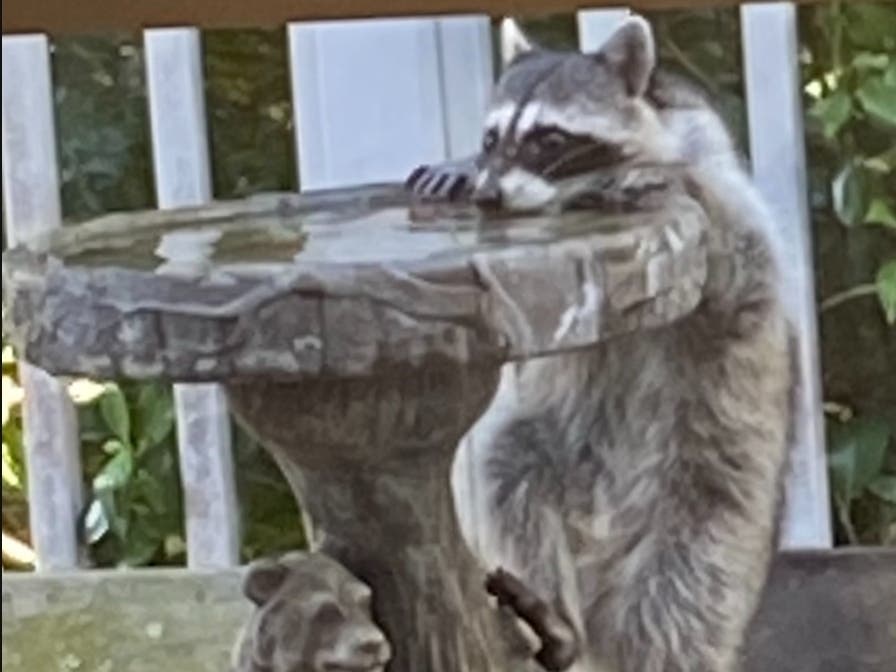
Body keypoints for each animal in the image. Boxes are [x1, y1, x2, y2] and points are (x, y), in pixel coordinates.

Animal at [432, 17, 794, 672]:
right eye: (491, 137)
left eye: (547, 139)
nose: (488, 196)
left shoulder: (718, 175)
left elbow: (738, 263)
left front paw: (671, 180)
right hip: (551, 463)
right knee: (509, 471)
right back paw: (552, 621)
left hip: (717, 492)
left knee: (682, 609)